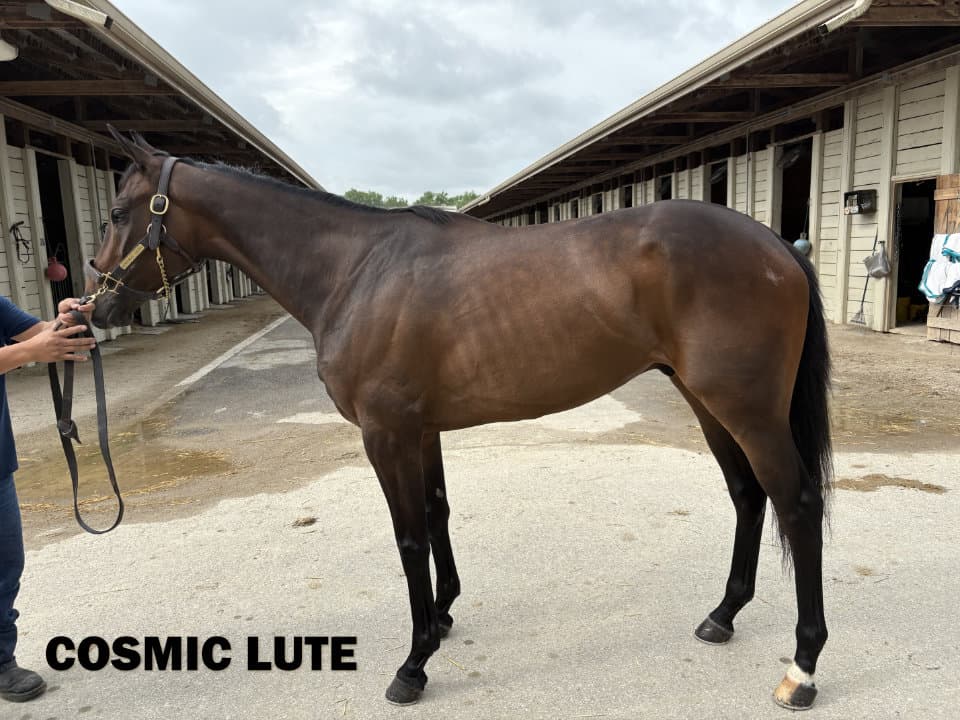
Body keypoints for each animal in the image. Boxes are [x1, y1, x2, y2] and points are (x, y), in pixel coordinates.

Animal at [88, 128, 831, 711]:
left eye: (119, 211)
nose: (94, 306)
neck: (357, 270)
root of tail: (776, 246)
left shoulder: (385, 433)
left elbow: (409, 536)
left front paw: (413, 664)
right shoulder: (421, 430)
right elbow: (437, 513)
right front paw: (443, 615)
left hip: (746, 409)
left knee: (795, 503)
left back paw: (802, 669)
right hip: (708, 404)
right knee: (747, 496)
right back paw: (722, 616)